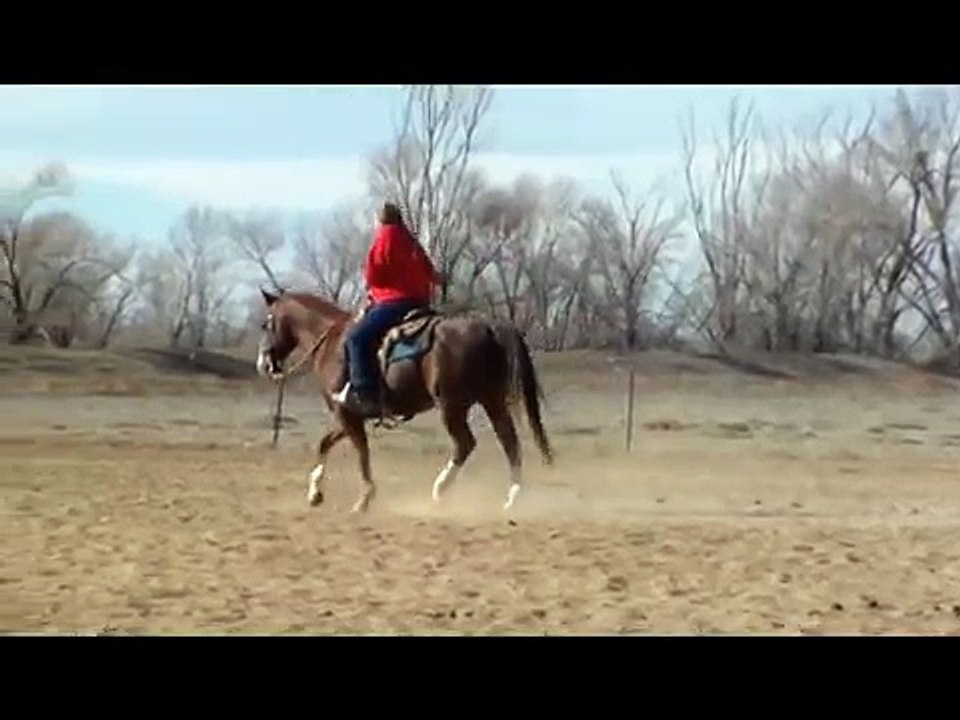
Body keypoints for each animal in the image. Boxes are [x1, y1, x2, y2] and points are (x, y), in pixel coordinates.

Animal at [255, 288, 553, 513]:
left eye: (266, 324)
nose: (263, 364)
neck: (331, 341)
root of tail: (488, 326)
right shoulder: (349, 414)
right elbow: (325, 443)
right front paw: (315, 492)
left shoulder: (347, 414)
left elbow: (361, 453)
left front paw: (364, 499)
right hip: (491, 401)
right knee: (509, 441)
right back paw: (513, 496)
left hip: (452, 405)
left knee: (465, 443)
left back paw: (440, 488)